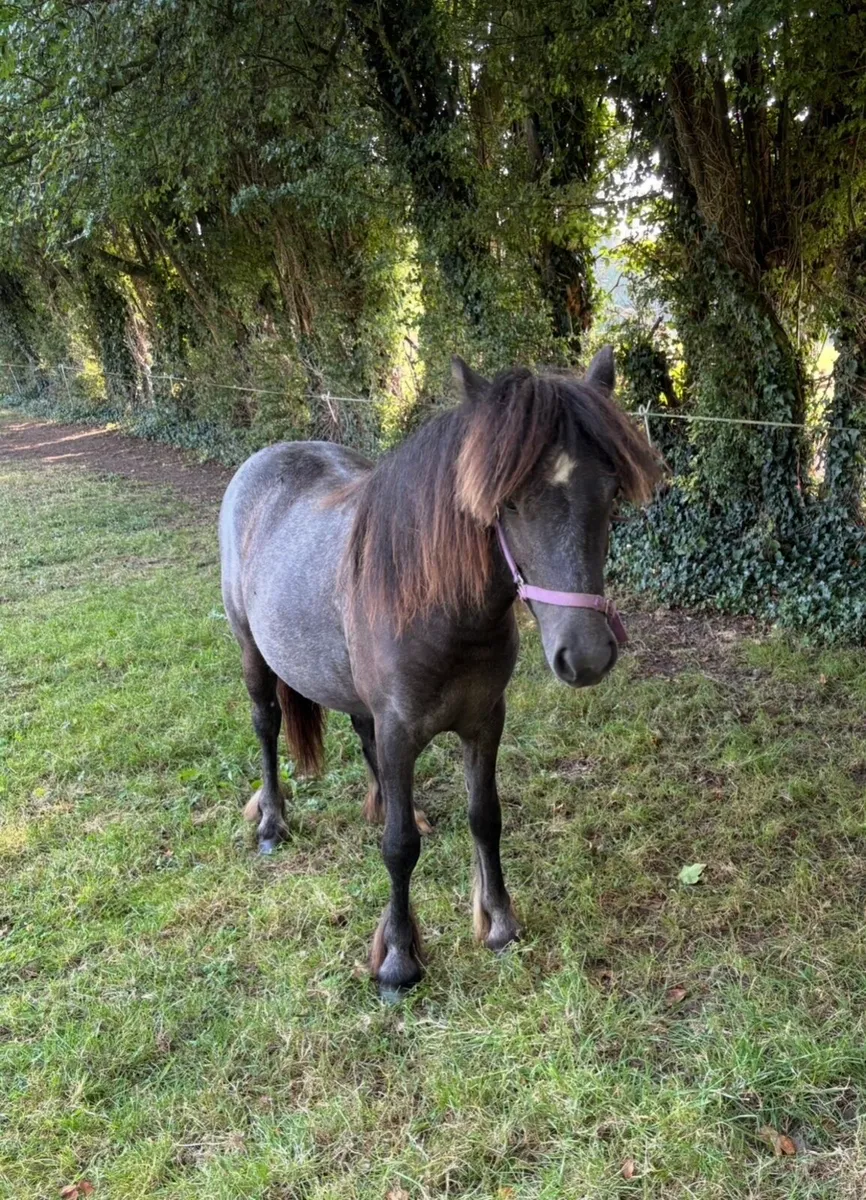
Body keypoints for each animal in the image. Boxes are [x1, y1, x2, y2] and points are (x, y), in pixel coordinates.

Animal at [219, 347, 661, 994]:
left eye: (608, 494)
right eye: (508, 502)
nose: (585, 656)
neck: (442, 612)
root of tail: (262, 460)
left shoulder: (484, 722)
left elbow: (486, 818)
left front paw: (499, 924)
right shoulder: (401, 730)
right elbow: (398, 848)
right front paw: (399, 959)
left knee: (359, 732)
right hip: (252, 653)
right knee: (266, 724)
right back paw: (273, 823)